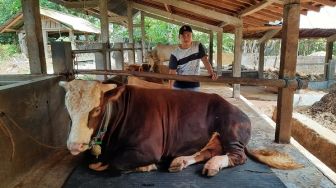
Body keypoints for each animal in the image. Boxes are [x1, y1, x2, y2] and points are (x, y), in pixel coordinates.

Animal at [59, 79, 304, 176]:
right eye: (67, 109)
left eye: (96, 109)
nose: (74, 145)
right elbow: (94, 163)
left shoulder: (149, 149)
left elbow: (115, 164)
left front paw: (146, 167)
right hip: (215, 138)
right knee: (209, 151)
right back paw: (181, 161)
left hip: (230, 130)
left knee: (237, 156)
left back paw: (213, 165)